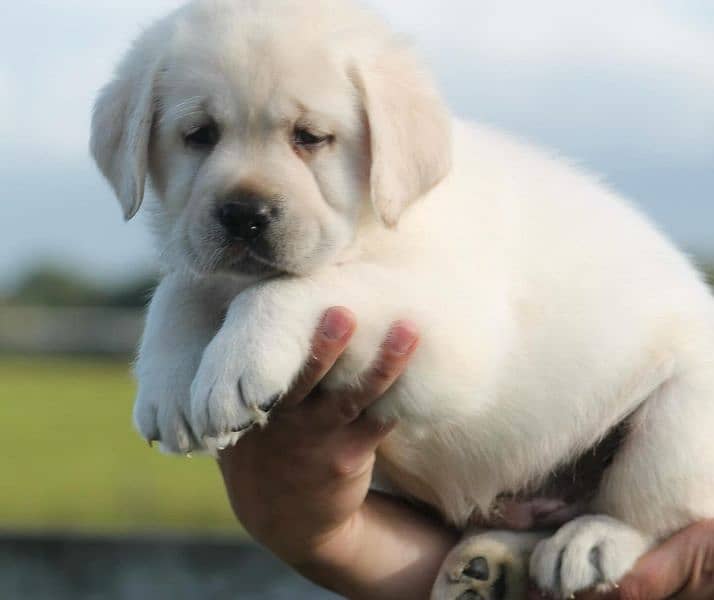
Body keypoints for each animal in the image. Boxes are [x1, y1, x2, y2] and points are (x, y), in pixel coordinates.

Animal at [90, 2, 712, 596]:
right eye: (199, 134)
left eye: (309, 137)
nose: (244, 215)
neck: (372, 224)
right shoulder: (207, 259)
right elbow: (178, 288)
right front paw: (168, 386)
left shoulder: (453, 338)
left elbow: (292, 287)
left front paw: (236, 367)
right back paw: (490, 565)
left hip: (679, 421)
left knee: (651, 511)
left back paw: (591, 540)